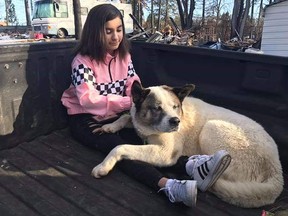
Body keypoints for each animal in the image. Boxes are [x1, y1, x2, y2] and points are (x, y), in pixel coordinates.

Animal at [91, 80, 284, 208]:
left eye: (175, 107)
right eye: (157, 108)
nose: (175, 121)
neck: (148, 128)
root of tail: (276, 171)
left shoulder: (165, 153)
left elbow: (119, 147)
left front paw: (103, 166)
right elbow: (126, 116)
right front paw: (109, 126)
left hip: (210, 128)